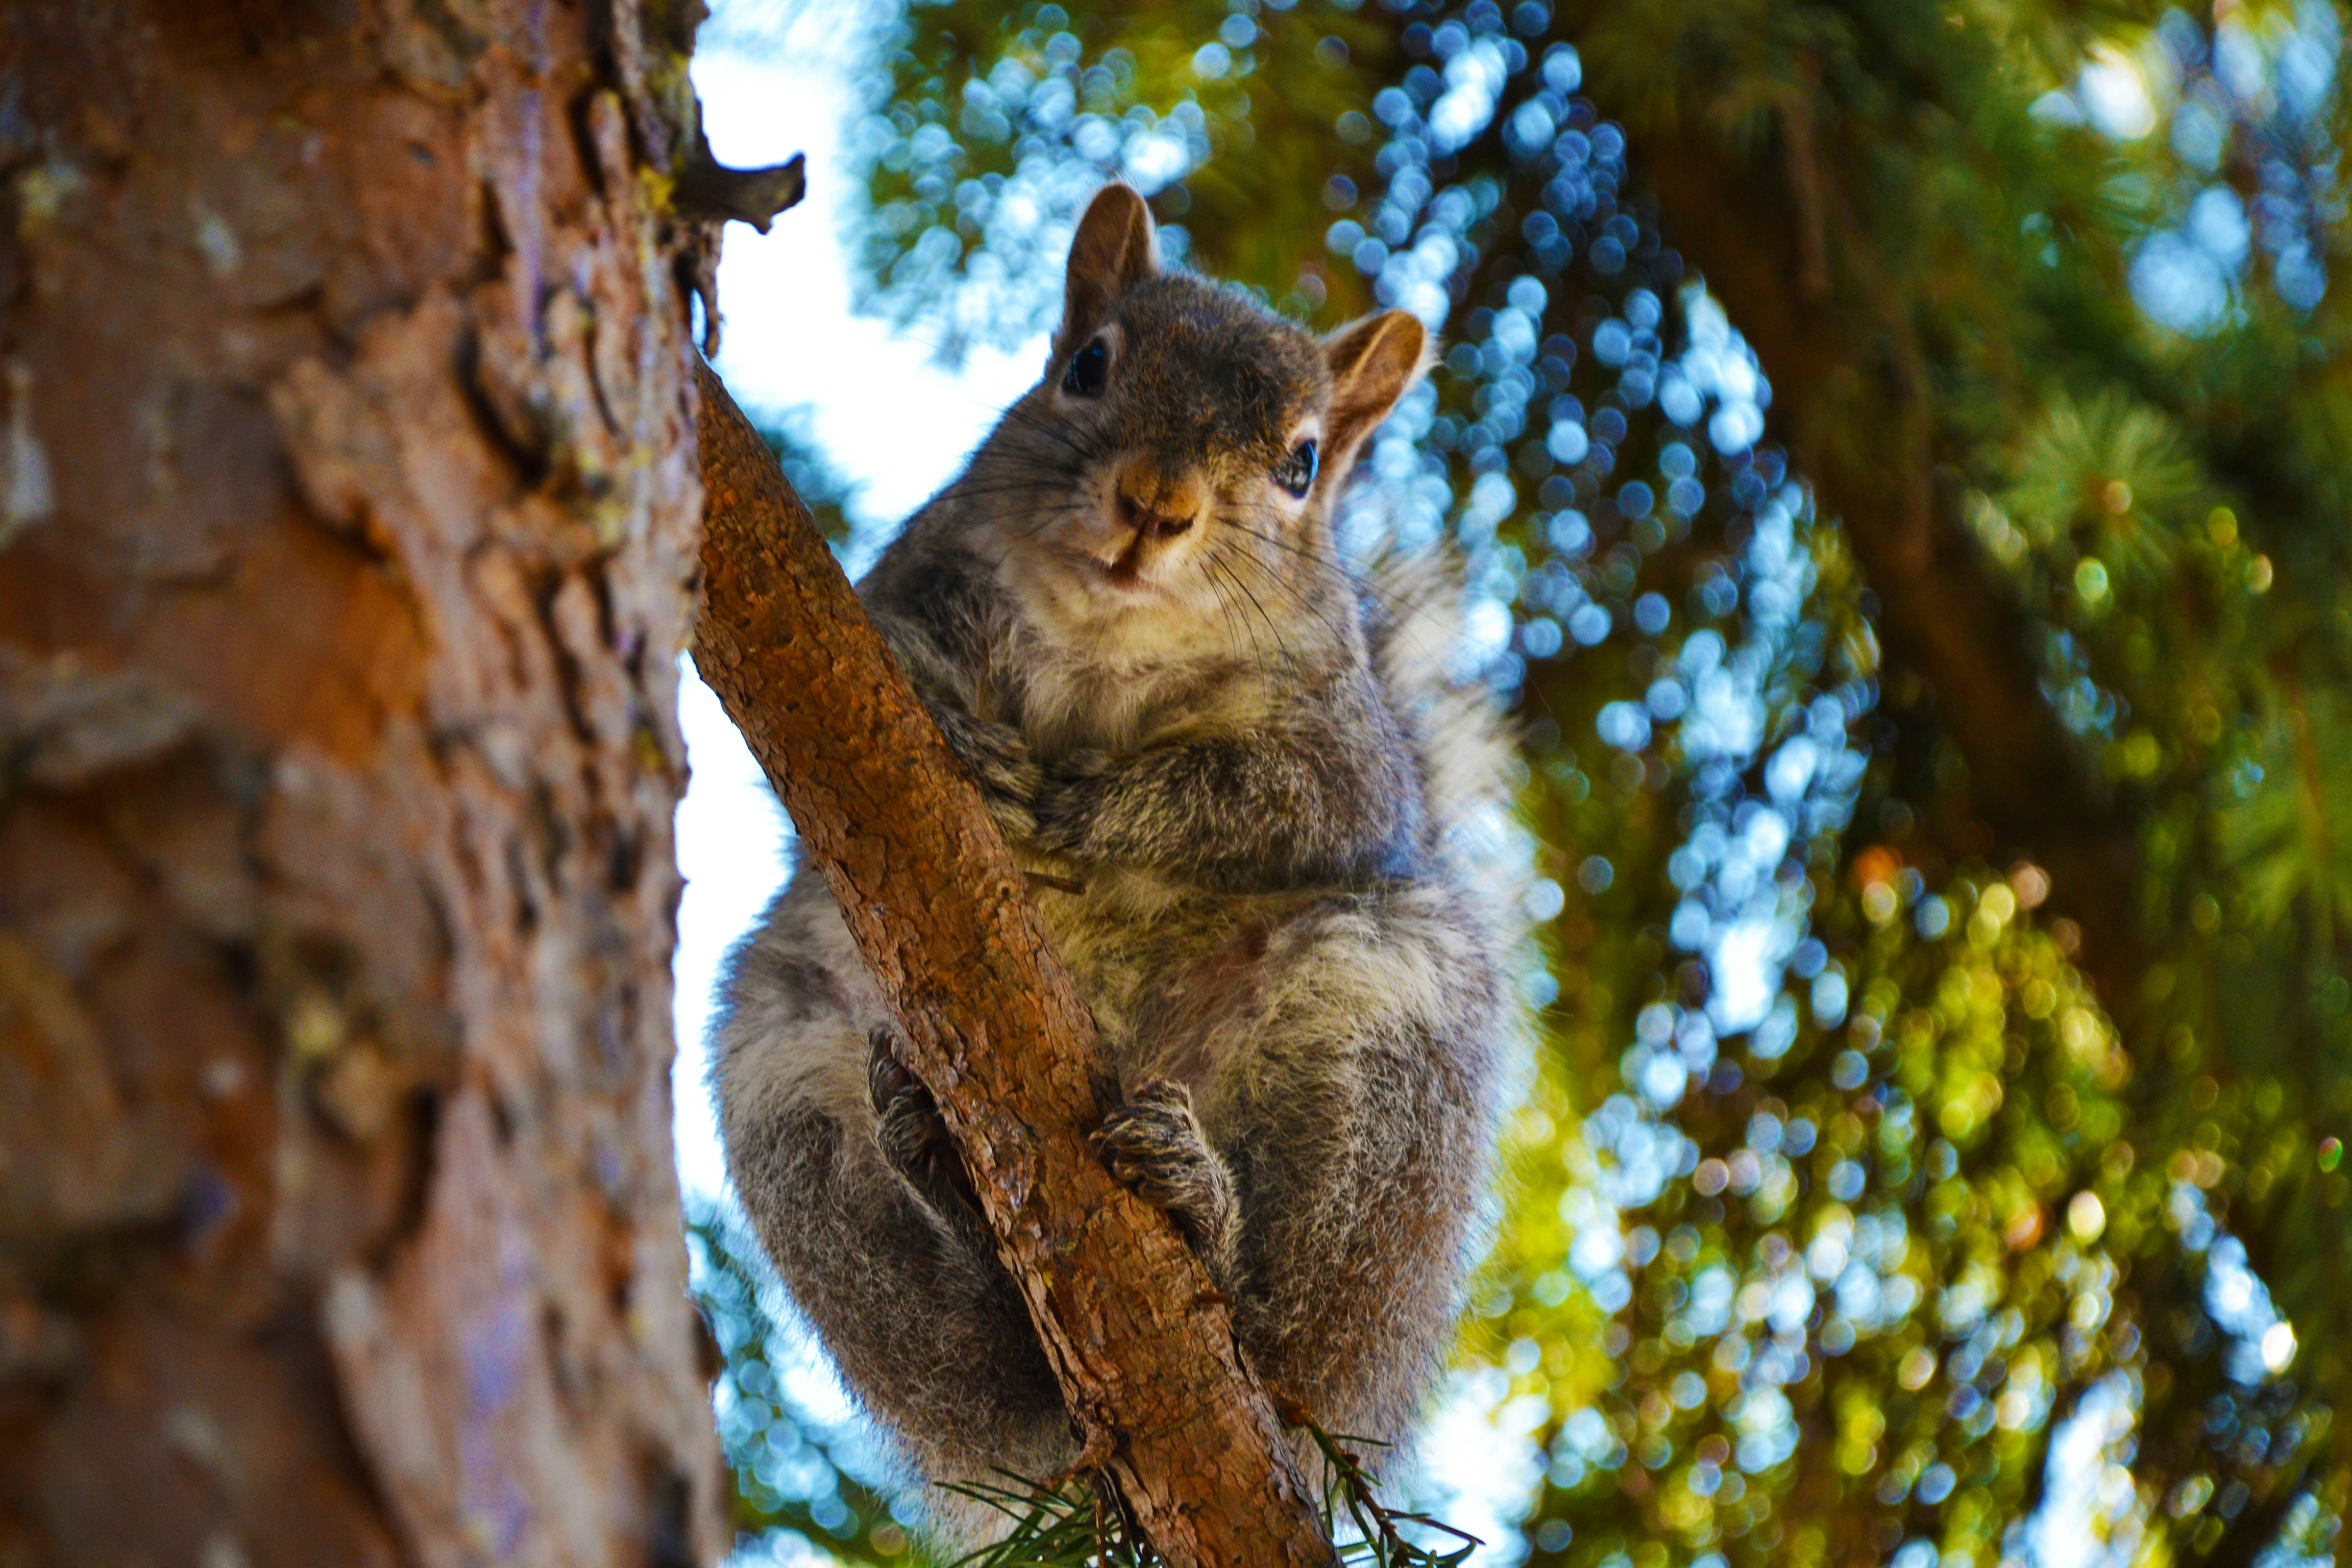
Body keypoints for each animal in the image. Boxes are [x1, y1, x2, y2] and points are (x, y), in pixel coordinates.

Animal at [711, 183, 1519, 1537]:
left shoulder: (1346, 751)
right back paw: (949, 1178)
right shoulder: (873, 603)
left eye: (1302, 465)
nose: (1157, 501)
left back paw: (1205, 1221)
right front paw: (959, 721)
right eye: (1086, 367)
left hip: (1381, 1043)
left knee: (1275, 1335)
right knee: (983, 1362)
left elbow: (1268, 800)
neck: (1103, 647)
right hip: (783, 1082)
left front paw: (1075, 804)